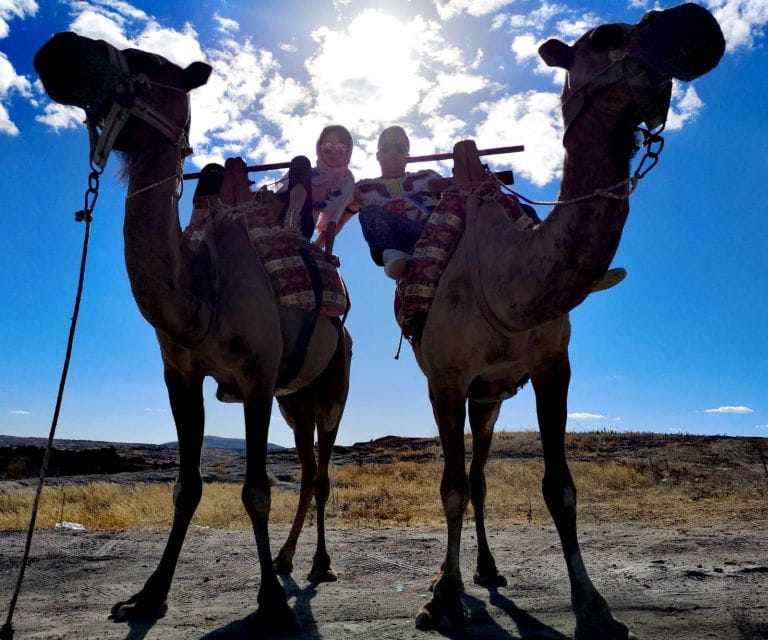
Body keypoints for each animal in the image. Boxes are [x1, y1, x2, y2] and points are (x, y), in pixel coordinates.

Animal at [34, 32, 351, 634]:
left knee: (321, 471)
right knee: (304, 468)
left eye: (151, 63)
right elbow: (186, 488)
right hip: (294, 398)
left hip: (331, 387)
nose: (58, 48)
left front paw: (272, 605)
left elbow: (256, 491)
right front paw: (148, 595)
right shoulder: (180, 375)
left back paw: (320, 564)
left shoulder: (255, 376)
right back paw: (286, 558)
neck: (201, 291)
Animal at [407, 4, 724, 638]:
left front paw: (595, 607)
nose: (699, 23)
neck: (513, 280)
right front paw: (443, 598)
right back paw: (449, 579)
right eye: (606, 35)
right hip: (460, 391)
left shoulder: (553, 366)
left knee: (481, 477)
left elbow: (561, 489)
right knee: (463, 479)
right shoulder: (447, 379)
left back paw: (490, 569)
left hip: (490, 398)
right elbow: (448, 488)